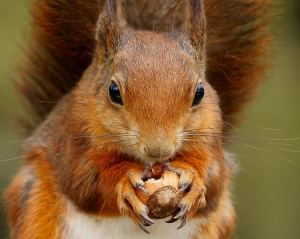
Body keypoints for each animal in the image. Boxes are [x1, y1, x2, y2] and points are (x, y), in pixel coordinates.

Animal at [4, 0, 274, 238]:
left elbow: (214, 178)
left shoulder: (212, 134)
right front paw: (126, 182)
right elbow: (85, 183)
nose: (158, 151)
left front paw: (195, 180)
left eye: (200, 93)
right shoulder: (72, 136)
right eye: (114, 91)